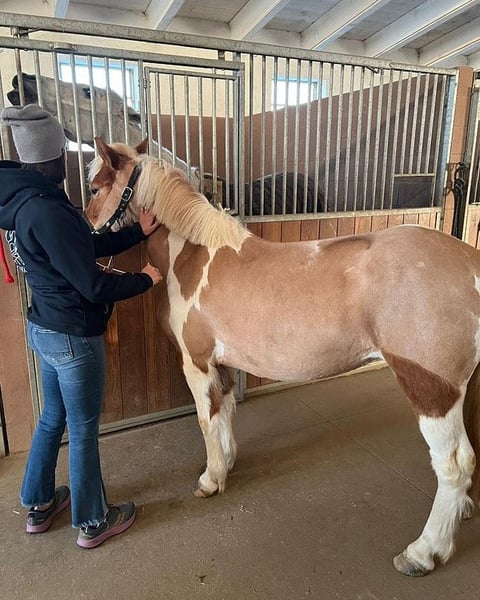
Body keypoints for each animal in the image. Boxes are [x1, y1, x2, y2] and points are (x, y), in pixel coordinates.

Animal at [85, 137, 480, 577]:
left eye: (94, 188)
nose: (87, 231)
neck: (193, 257)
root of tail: (469, 263)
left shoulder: (196, 362)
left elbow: (206, 420)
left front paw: (210, 479)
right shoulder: (222, 365)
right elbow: (225, 413)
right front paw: (227, 463)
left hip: (432, 391)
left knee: (454, 464)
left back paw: (423, 551)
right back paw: (462, 511)